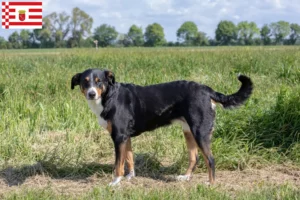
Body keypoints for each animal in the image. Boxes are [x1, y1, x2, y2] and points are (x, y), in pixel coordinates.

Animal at [71, 69, 253, 186]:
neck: (110, 97)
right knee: (194, 158)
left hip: (200, 132)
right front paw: (130, 177)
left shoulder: (119, 136)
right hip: (188, 131)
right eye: (84, 82)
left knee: (211, 160)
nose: (91, 94)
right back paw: (185, 178)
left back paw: (211, 184)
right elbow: (129, 158)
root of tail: (207, 90)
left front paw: (115, 182)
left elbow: (118, 164)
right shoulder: (125, 137)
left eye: (99, 82)